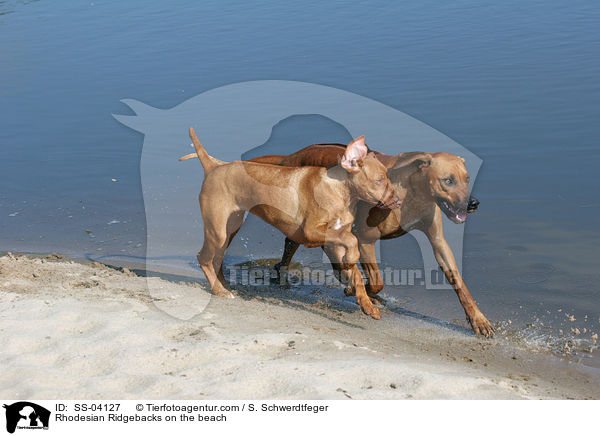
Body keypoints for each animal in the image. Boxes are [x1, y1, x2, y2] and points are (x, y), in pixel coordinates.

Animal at [180, 127, 400, 318]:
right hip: (217, 229)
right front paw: (352, 264)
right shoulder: (311, 232)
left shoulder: (334, 242)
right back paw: (219, 290)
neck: (339, 191)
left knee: (216, 258)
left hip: (230, 228)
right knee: (203, 258)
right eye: (379, 180)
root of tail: (214, 166)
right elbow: (351, 241)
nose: (398, 201)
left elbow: (355, 271)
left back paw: (224, 286)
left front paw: (366, 303)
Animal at [251, 143, 494, 338]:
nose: (473, 203)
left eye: (467, 179)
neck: (412, 191)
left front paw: (479, 320)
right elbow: (377, 280)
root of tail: (292, 156)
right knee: (292, 245)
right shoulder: (364, 239)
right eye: (448, 180)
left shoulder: (438, 240)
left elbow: (458, 281)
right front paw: (362, 291)